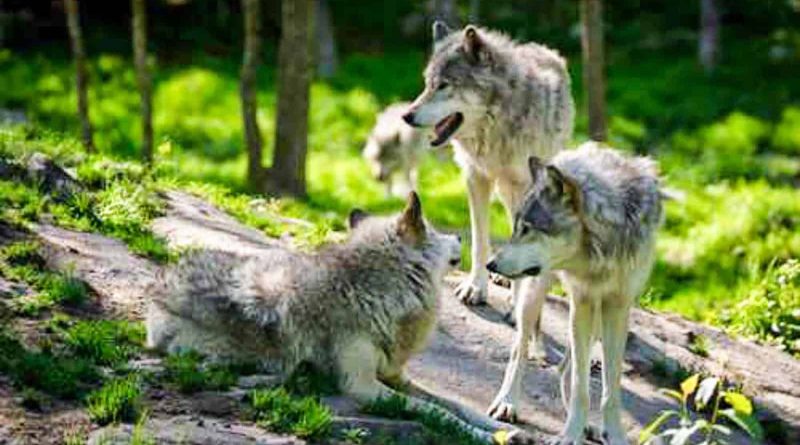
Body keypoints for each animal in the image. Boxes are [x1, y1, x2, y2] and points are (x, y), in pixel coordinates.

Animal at [146, 192, 529, 444]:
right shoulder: (362, 385)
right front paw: (483, 436)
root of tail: (163, 279)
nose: (460, 235)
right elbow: (437, 412)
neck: (374, 291)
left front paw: (506, 430)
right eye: (434, 230)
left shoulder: (395, 375)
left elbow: (457, 405)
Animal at [403, 23, 574, 360]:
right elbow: (480, 240)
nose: (407, 116)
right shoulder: (476, 177)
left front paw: (516, 307)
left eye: (444, 85)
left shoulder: (525, 187)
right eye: (427, 84)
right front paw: (476, 287)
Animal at [485, 143, 664, 444]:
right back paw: (507, 402)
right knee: (520, 349)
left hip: (596, 321)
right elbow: (582, 387)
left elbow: (610, 389)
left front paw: (613, 434)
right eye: (516, 228)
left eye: (527, 229)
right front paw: (570, 435)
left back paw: (589, 426)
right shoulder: (583, 300)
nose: (490, 264)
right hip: (537, 294)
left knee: (565, 367)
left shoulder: (617, 306)